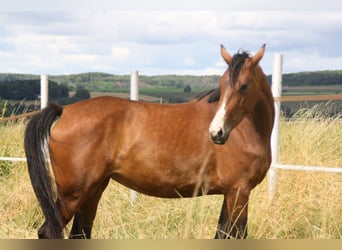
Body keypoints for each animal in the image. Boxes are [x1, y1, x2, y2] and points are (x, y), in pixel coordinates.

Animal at [24, 44, 274, 238]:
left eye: (244, 85)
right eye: (222, 85)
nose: (216, 132)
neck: (245, 130)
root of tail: (64, 110)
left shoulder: (232, 193)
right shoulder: (238, 191)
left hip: (93, 190)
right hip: (73, 195)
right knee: (48, 232)